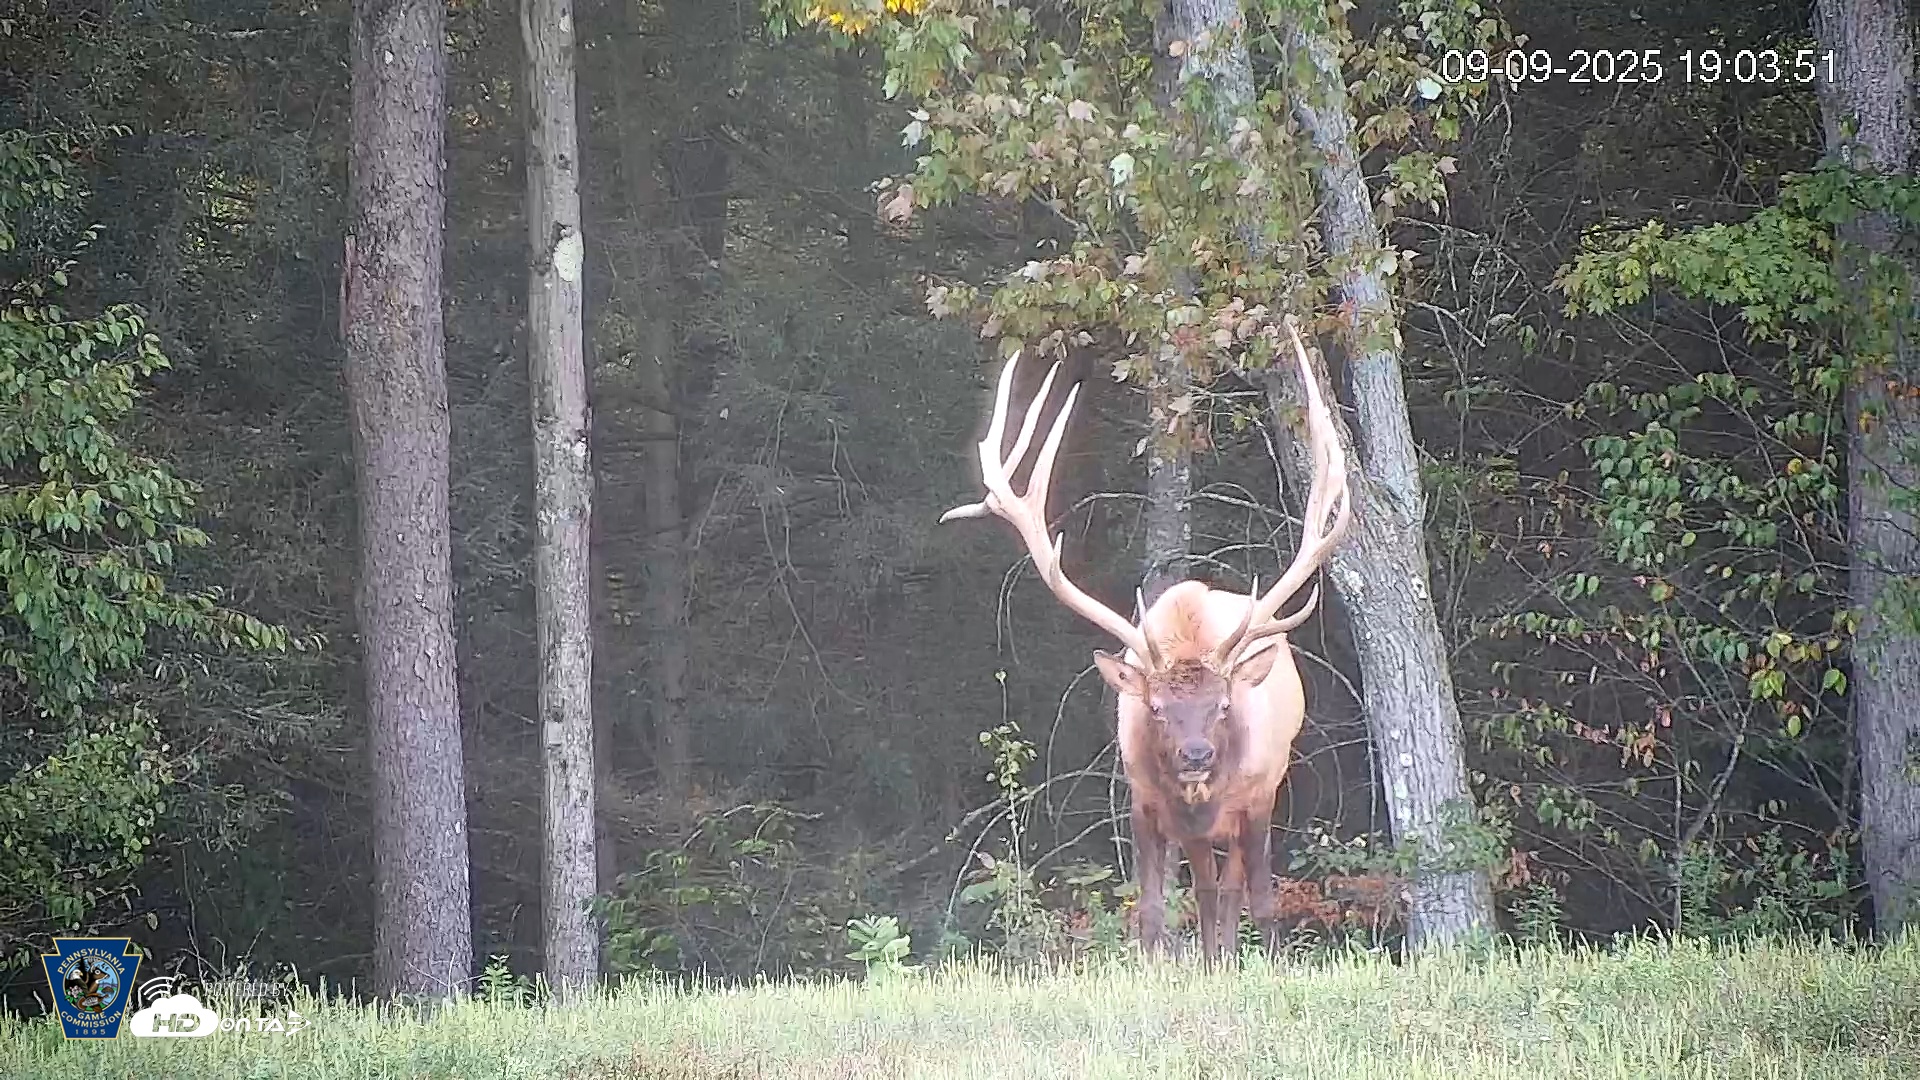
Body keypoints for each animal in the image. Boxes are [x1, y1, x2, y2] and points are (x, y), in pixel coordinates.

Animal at [941, 316, 1352, 963]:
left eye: (1224, 704)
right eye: (1156, 708)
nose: (1196, 755)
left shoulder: (1256, 796)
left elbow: (1254, 898)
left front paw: (1247, 959)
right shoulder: (1145, 802)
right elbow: (1158, 907)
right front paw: (1175, 962)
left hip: (1268, 784)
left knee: (1237, 887)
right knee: (1208, 888)